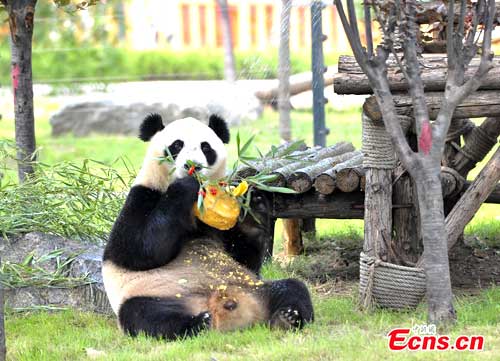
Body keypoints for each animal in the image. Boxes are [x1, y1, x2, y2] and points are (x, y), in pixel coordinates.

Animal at [100, 114, 312, 338]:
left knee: (292, 288)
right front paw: (186, 186)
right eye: (177, 145)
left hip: (254, 287)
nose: (193, 166)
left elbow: (245, 258)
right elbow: (137, 250)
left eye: (206, 147)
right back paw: (197, 323)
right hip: (153, 294)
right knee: (145, 316)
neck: (197, 204)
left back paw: (287, 317)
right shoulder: (142, 195)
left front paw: (252, 206)